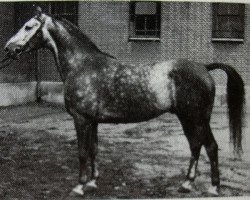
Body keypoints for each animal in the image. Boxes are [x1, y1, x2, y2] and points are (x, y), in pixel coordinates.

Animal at [4, 7, 245, 196]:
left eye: (28, 27)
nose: (8, 48)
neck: (82, 65)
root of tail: (204, 68)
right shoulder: (93, 121)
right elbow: (93, 150)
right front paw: (92, 182)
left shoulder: (81, 120)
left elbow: (82, 152)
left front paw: (79, 187)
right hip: (189, 119)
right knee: (196, 146)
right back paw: (187, 184)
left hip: (196, 119)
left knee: (209, 147)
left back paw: (212, 187)